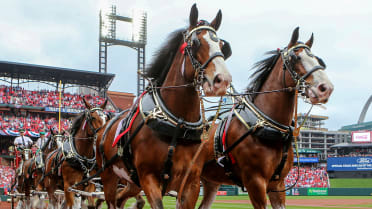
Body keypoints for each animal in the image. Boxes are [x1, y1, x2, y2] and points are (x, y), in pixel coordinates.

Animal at [94, 3, 231, 209]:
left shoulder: (191, 182)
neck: (177, 123)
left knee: (120, 198)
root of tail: (104, 128)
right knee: (111, 200)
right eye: (195, 43)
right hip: (109, 175)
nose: (222, 80)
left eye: (222, 45)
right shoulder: (148, 177)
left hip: (131, 182)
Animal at [198, 27, 334, 209]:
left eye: (317, 59)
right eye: (295, 57)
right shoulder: (255, 182)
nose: (326, 88)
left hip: (210, 182)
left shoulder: (278, 185)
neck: (265, 125)